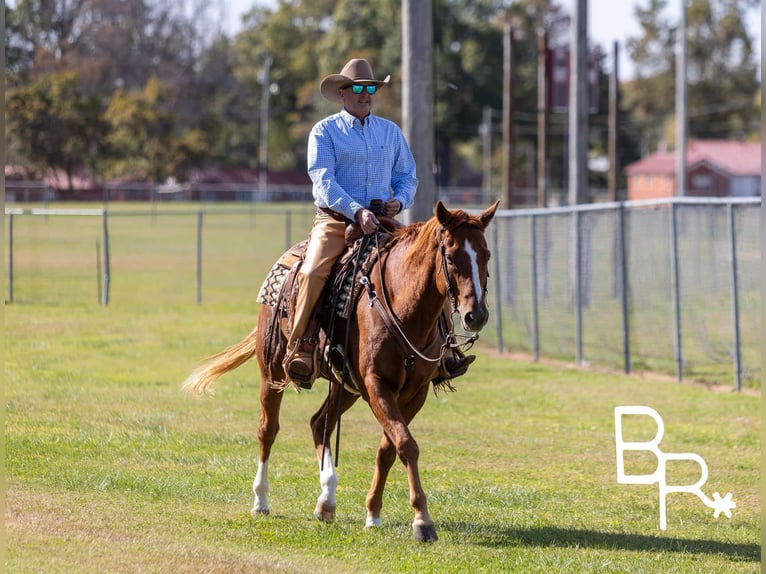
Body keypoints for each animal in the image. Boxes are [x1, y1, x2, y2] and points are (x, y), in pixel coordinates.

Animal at [182, 200, 499, 542]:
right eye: (451, 257)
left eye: (486, 254)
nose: (476, 315)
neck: (403, 307)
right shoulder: (376, 384)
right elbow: (405, 444)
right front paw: (422, 520)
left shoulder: (414, 393)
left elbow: (388, 448)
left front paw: (373, 513)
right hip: (272, 373)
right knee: (268, 430)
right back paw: (261, 501)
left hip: (345, 387)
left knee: (319, 423)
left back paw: (327, 501)